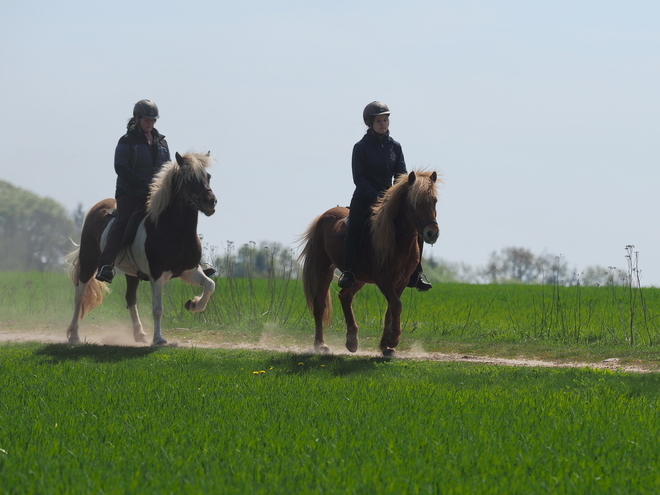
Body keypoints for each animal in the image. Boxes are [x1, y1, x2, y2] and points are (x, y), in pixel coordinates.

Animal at [66, 151, 217, 344]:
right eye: (190, 179)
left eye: (208, 177)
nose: (210, 202)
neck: (173, 230)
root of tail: (96, 207)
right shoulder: (157, 274)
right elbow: (158, 308)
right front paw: (159, 339)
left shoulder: (189, 271)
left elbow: (210, 285)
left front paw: (194, 304)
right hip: (89, 260)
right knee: (79, 295)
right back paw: (74, 335)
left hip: (131, 273)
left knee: (130, 298)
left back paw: (139, 334)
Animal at [300, 170, 438, 356]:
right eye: (415, 203)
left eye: (434, 201)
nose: (432, 233)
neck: (397, 238)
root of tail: (323, 216)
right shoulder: (383, 279)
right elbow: (396, 305)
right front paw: (393, 339)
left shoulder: (401, 280)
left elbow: (391, 309)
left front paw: (385, 346)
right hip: (323, 269)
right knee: (319, 305)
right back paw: (320, 345)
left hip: (357, 277)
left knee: (345, 296)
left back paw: (352, 340)